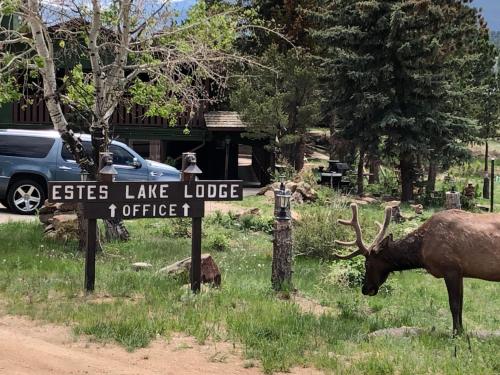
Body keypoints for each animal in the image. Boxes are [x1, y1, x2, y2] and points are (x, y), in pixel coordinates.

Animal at [334, 204, 500, 336]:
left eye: (367, 264)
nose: (365, 289)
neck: (421, 250)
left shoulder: (450, 268)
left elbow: (454, 304)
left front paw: (456, 334)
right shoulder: (460, 273)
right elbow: (461, 303)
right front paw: (462, 331)